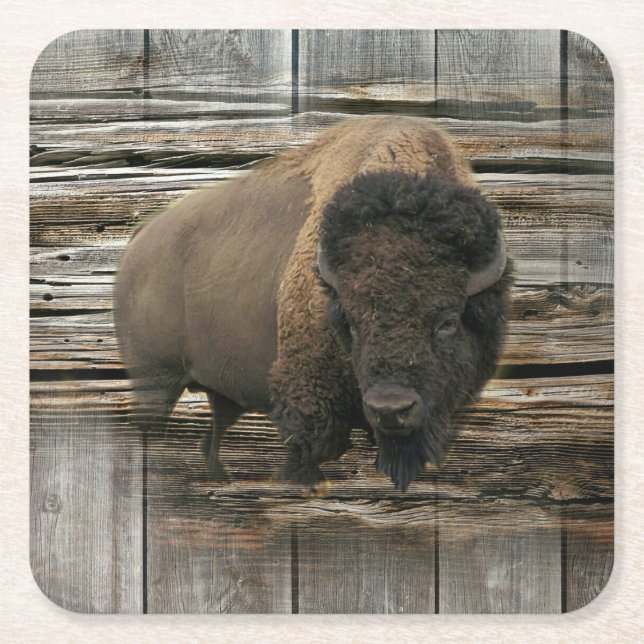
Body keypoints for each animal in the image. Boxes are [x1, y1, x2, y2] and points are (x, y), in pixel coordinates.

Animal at [114, 115, 512, 492]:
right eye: (350, 322)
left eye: (447, 321)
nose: (390, 409)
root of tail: (140, 239)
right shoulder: (308, 401)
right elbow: (307, 452)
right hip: (155, 381)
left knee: (211, 438)